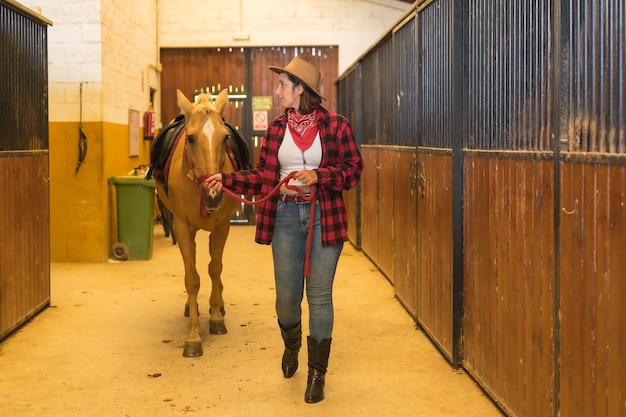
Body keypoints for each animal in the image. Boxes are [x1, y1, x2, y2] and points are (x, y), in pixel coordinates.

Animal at [149, 88, 249, 358]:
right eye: (191, 138)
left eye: (225, 138)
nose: (213, 194)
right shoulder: (182, 227)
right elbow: (192, 278)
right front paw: (193, 337)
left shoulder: (223, 225)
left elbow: (215, 268)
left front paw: (216, 318)